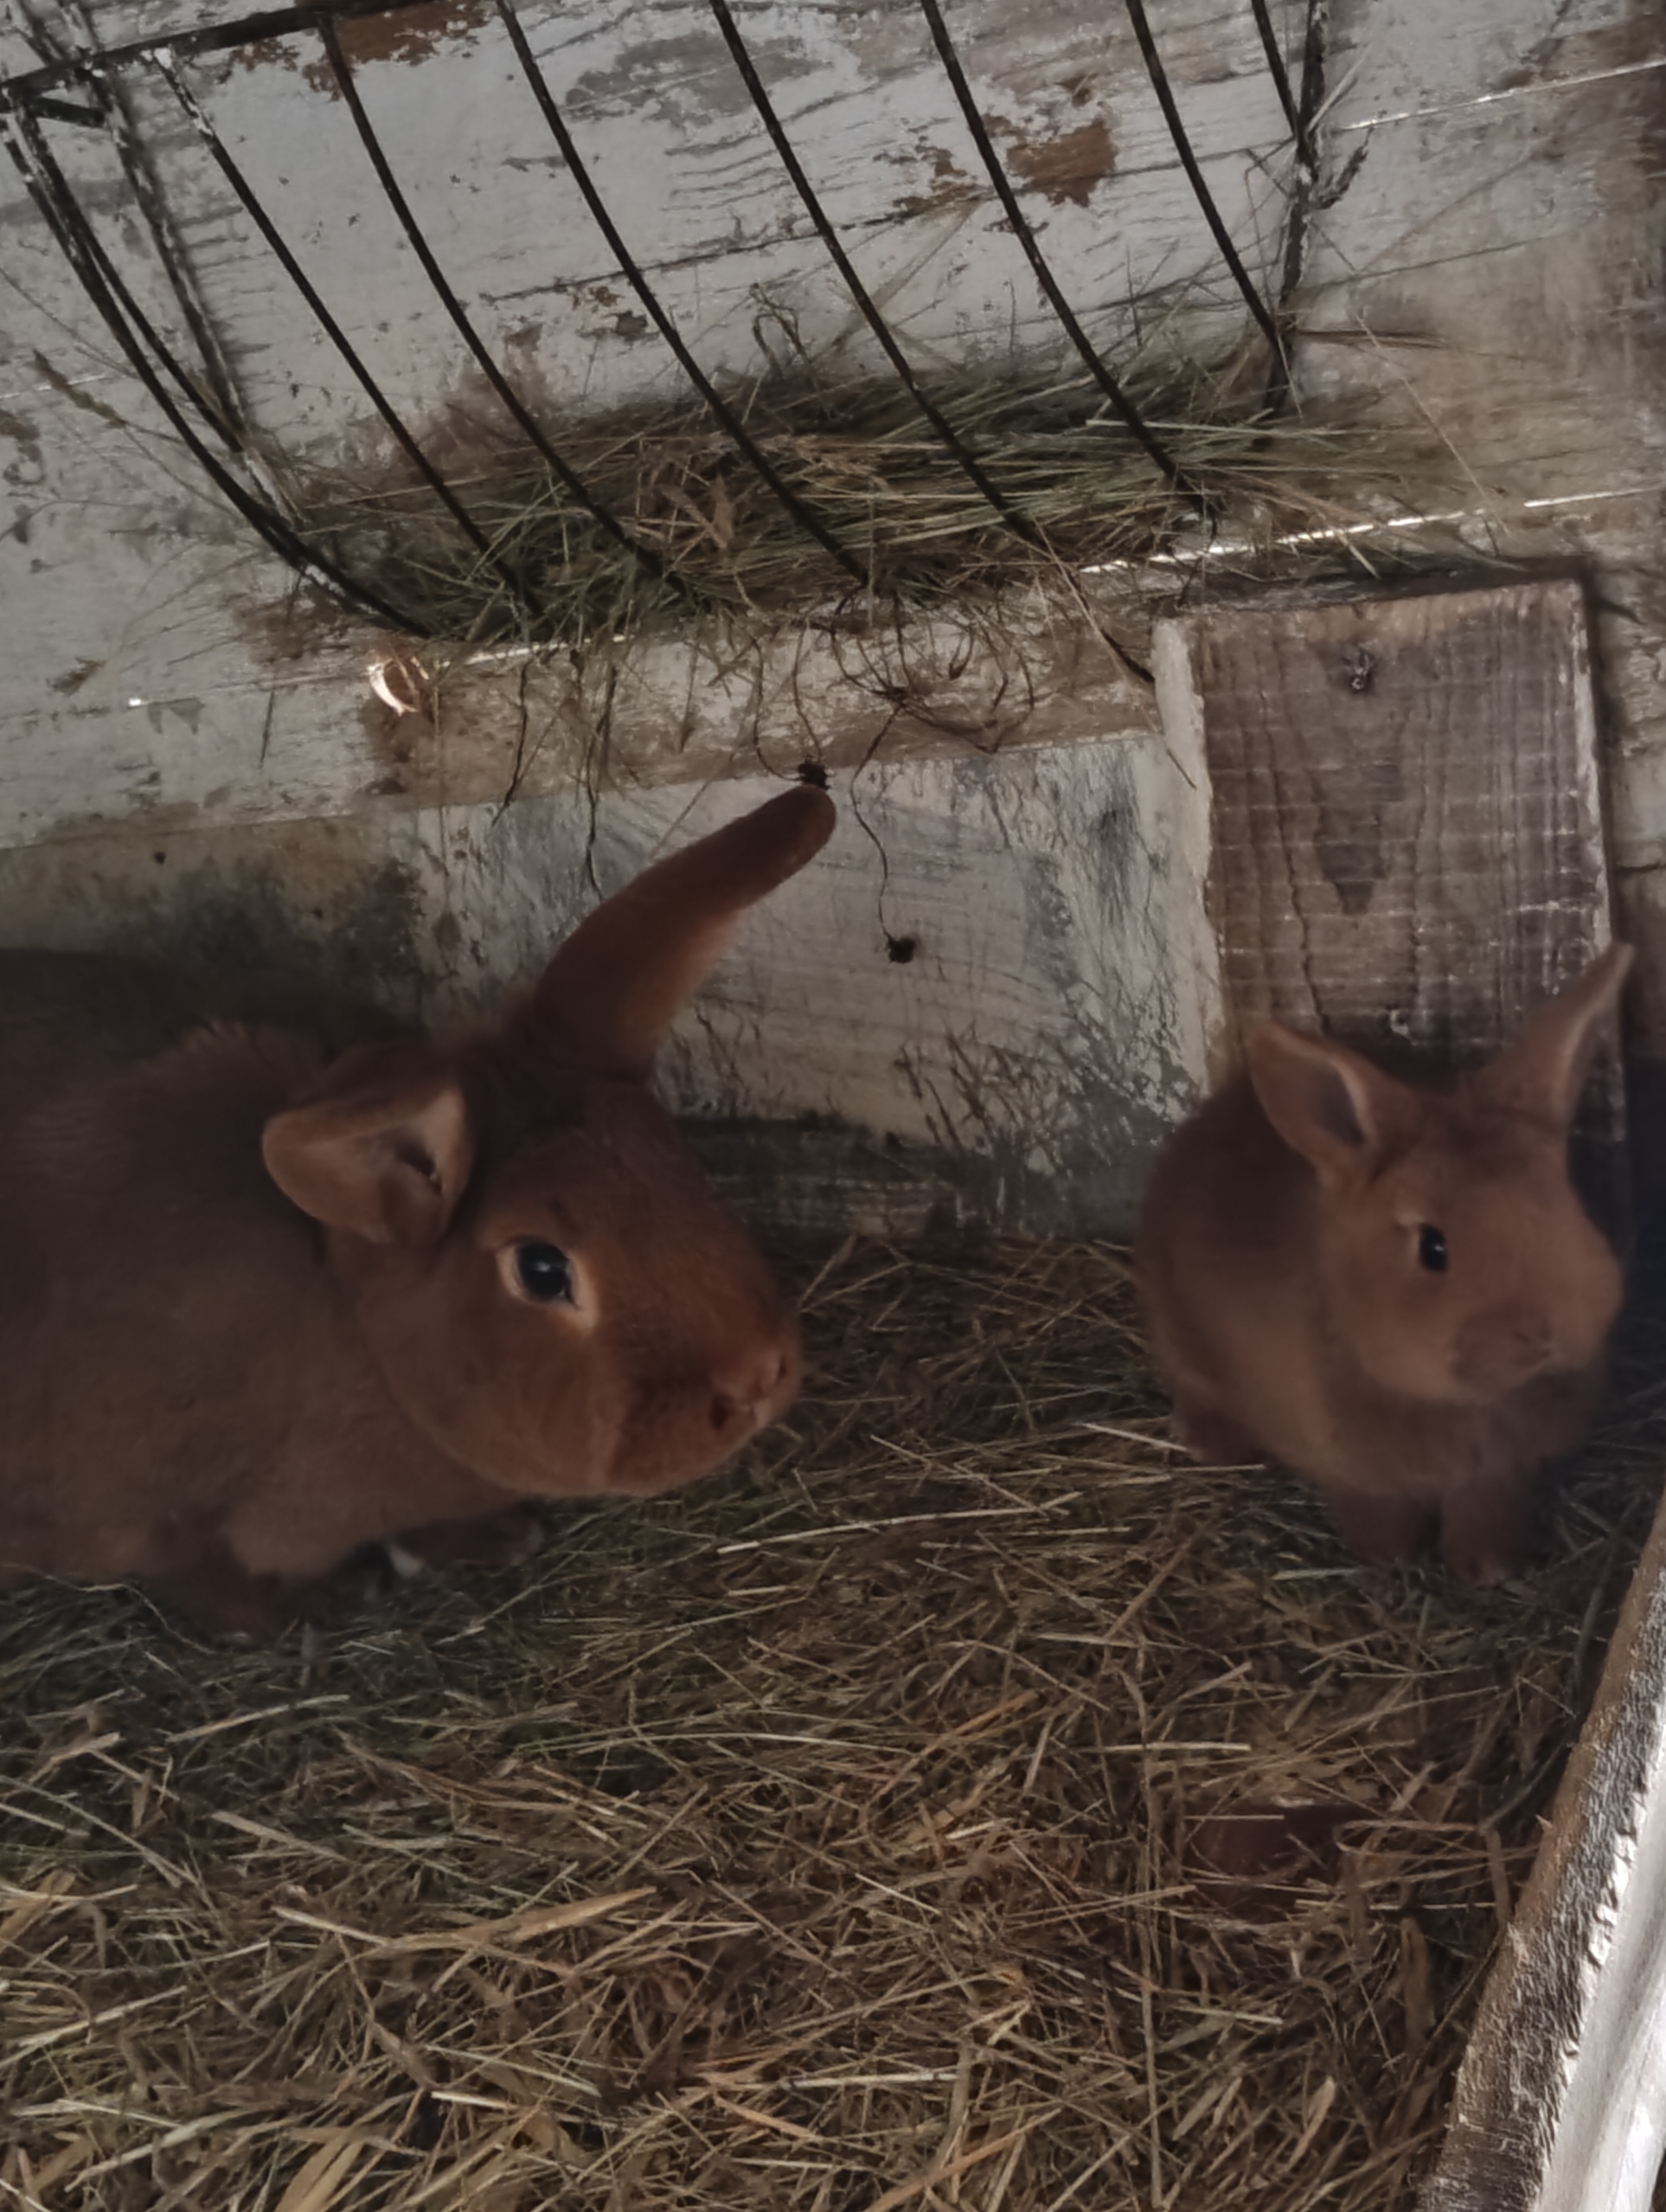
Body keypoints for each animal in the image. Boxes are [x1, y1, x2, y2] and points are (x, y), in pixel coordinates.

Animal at [0, 784, 835, 1637]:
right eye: (543, 1269)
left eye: (678, 1161)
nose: (757, 1377)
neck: (356, 1322)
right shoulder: (148, 1510)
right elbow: (207, 1578)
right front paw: (317, 1605)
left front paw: (491, 1537)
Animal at [1133, 943, 1632, 1582]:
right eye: (1433, 1247)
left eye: (1568, 1201)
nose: (1546, 1333)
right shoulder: (1353, 1474)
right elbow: (1377, 1514)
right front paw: (1389, 1559)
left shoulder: (1499, 1476)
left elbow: (1485, 1509)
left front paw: (1488, 1568)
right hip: (1177, 1331)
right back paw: (1213, 1444)